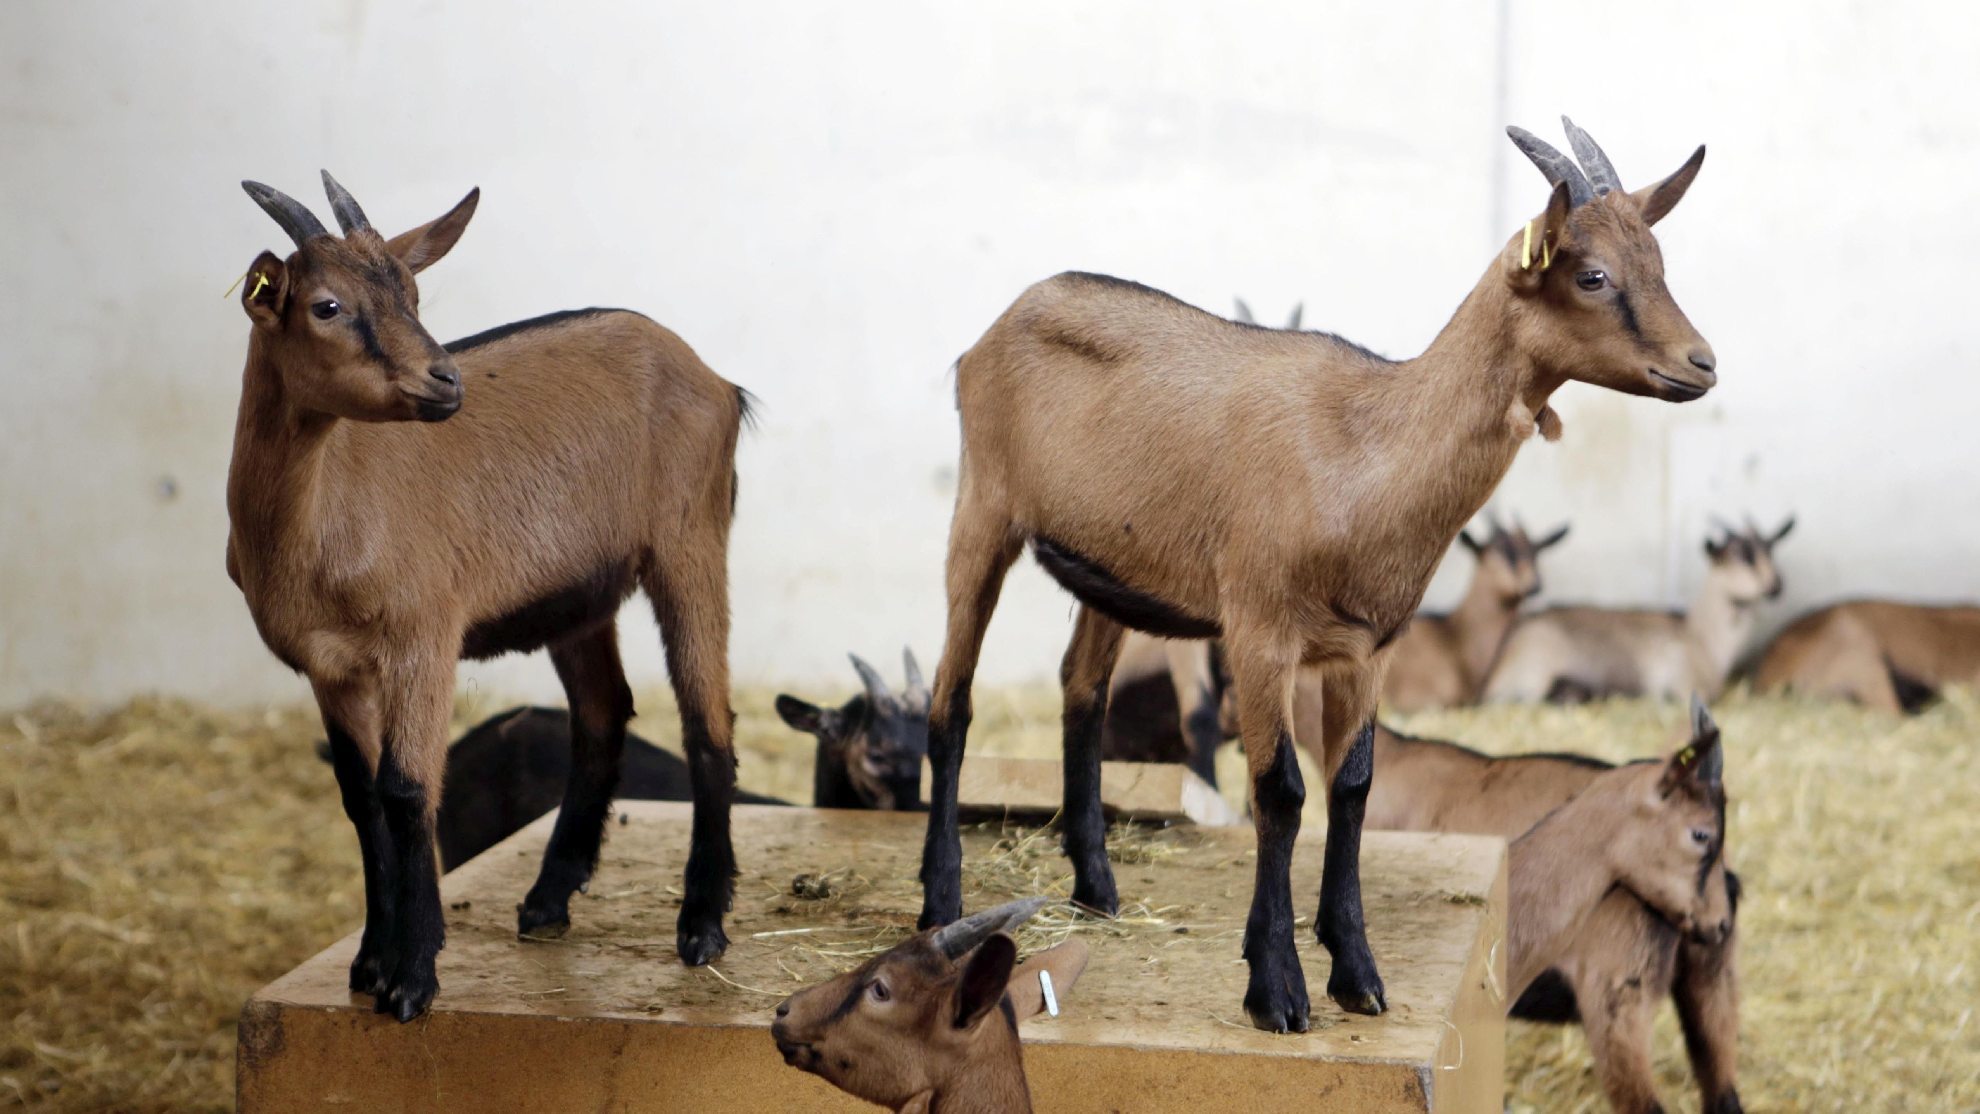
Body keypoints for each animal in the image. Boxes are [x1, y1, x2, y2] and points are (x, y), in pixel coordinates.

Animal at [228, 174, 747, 1019]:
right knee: (603, 714)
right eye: (326, 305)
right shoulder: (329, 667)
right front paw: (370, 962)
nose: (445, 380)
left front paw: (412, 978)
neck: (318, 521)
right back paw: (546, 900)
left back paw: (701, 926)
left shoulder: (422, 639)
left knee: (708, 718)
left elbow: (407, 792)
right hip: (580, 596)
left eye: (412, 292)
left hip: (691, 542)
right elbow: (360, 799)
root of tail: (713, 378)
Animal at [1482, 518, 1791, 704]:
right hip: (1532, 678)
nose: (1777, 585)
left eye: (1770, 551)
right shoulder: (1685, 686)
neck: (1700, 636)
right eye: (1743, 556)